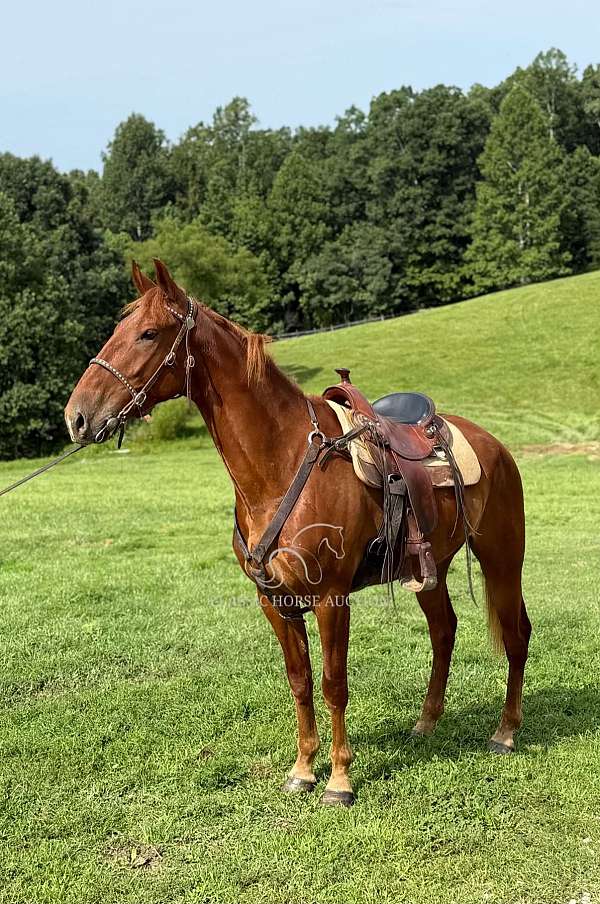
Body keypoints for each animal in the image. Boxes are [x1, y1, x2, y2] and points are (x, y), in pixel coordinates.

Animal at [65, 260, 531, 807]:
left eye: (148, 333)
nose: (78, 416)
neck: (283, 462)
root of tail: (493, 444)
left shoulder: (331, 598)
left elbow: (333, 684)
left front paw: (339, 780)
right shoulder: (275, 601)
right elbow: (300, 681)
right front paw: (303, 770)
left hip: (503, 558)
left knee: (517, 633)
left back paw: (505, 731)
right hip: (428, 567)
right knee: (444, 630)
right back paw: (427, 722)